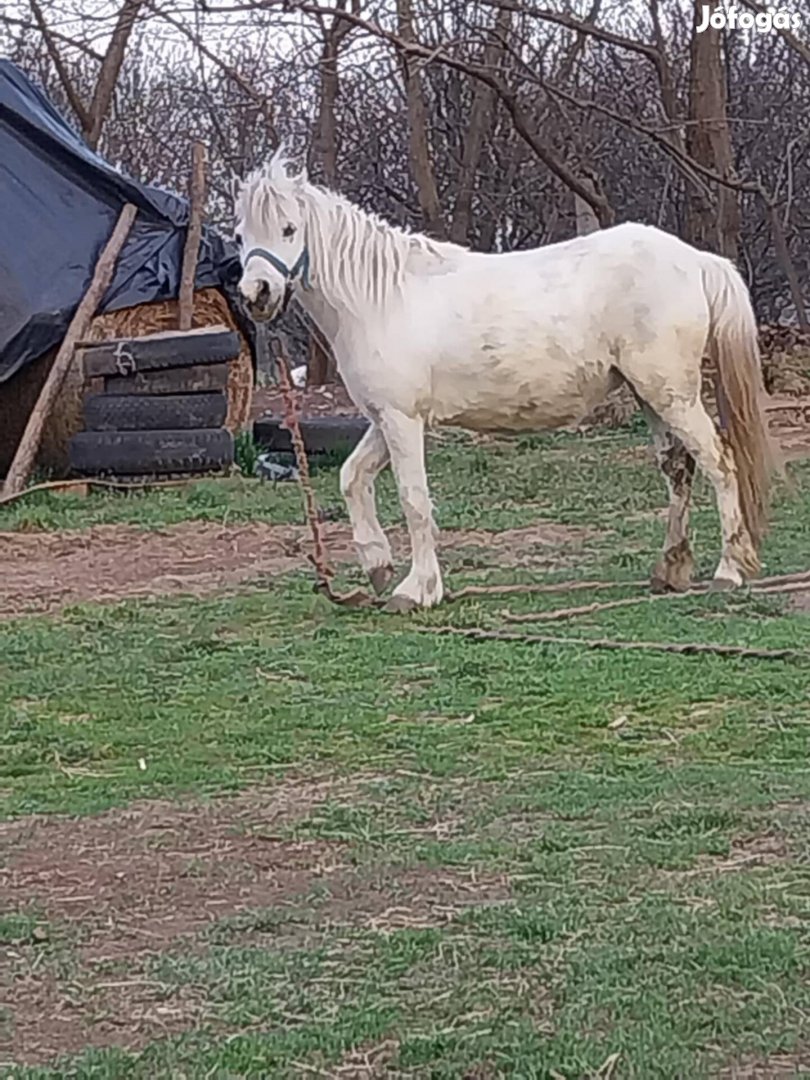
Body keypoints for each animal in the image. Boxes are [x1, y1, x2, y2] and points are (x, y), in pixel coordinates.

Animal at [233, 149, 777, 612]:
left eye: (289, 228)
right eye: (240, 236)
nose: (256, 293)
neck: (381, 298)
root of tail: (698, 261)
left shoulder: (403, 420)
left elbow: (413, 500)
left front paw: (417, 590)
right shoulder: (386, 419)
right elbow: (352, 478)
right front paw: (378, 565)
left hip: (674, 396)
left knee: (720, 466)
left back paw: (729, 570)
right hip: (653, 397)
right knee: (678, 471)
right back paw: (670, 570)